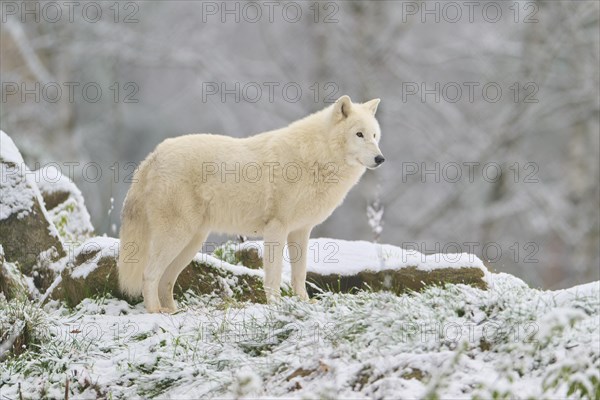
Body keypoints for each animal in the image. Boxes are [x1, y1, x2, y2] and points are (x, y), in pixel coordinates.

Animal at [117, 94, 384, 312]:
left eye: (374, 135)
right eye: (359, 134)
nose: (380, 158)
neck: (316, 157)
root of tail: (154, 155)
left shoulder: (300, 231)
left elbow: (299, 275)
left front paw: (304, 304)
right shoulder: (277, 228)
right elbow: (274, 277)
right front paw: (276, 307)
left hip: (192, 242)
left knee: (166, 279)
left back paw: (172, 312)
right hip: (177, 237)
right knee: (149, 274)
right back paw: (155, 313)